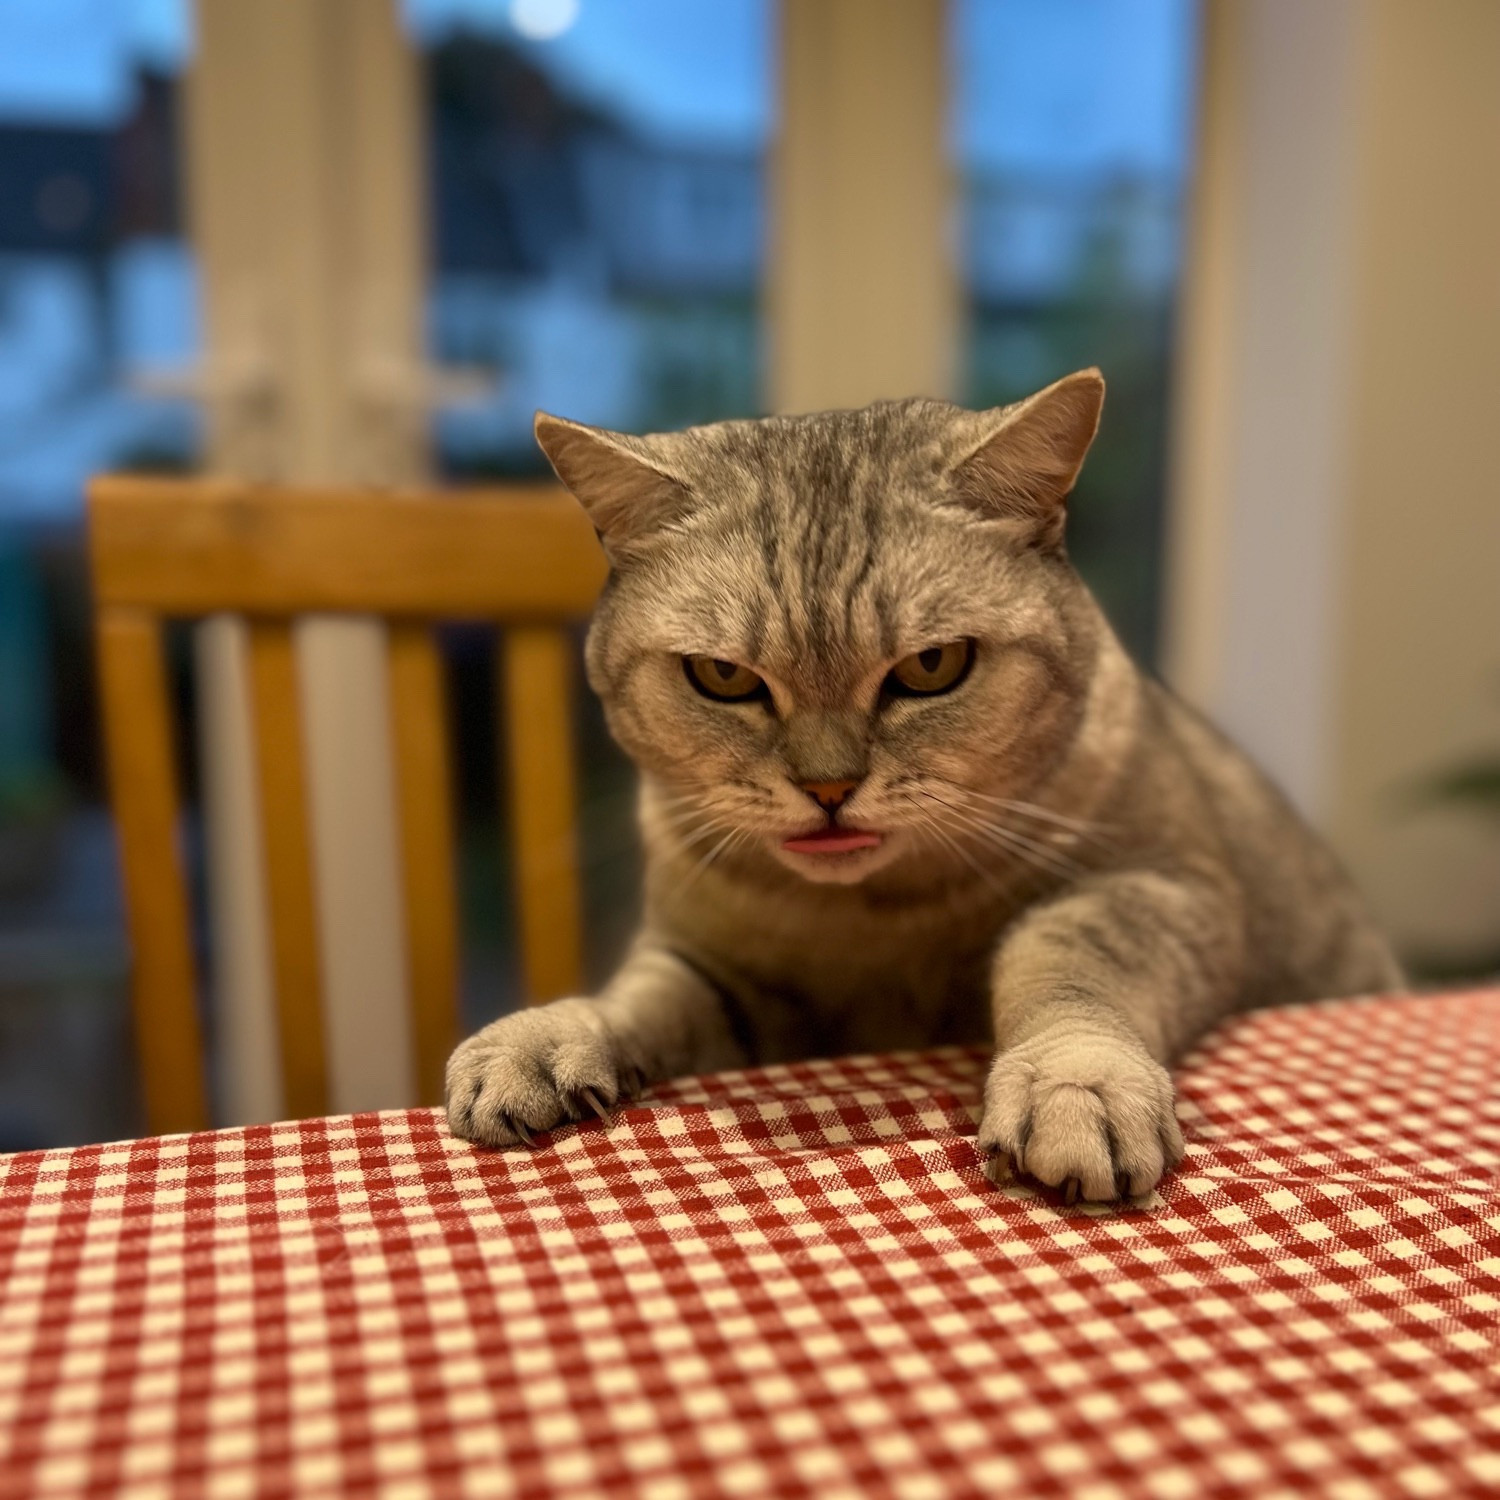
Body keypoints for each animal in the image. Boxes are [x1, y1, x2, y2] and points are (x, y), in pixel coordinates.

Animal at [444, 372, 1404, 1206]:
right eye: (723, 677)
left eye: (932, 666)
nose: (829, 786)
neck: (877, 919)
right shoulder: (716, 968)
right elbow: (635, 999)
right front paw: (545, 1034)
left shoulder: (1163, 887)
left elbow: (1060, 958)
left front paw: (1074, 1080)